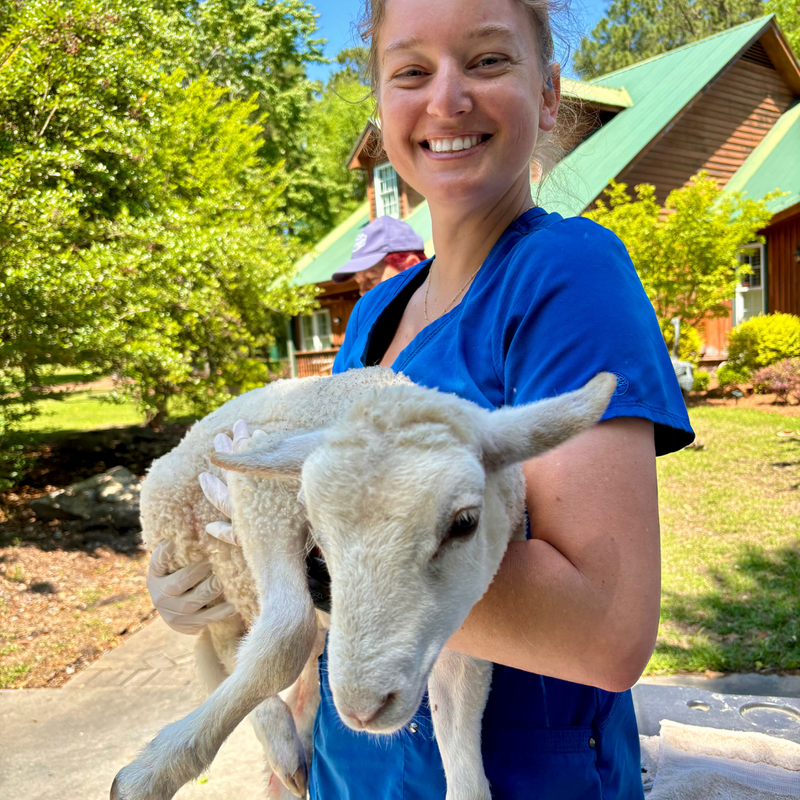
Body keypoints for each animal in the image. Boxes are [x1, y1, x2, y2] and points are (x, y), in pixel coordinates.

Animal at [111, 366, 616, 800]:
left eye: (465, 522)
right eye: (315, 522)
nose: (361, 708)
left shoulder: (462, 616)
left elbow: (466, 759)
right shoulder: (262, 495)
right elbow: (286, 635)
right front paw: (148, 777)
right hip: (188, 542)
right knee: (229, 644)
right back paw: (277, 740)